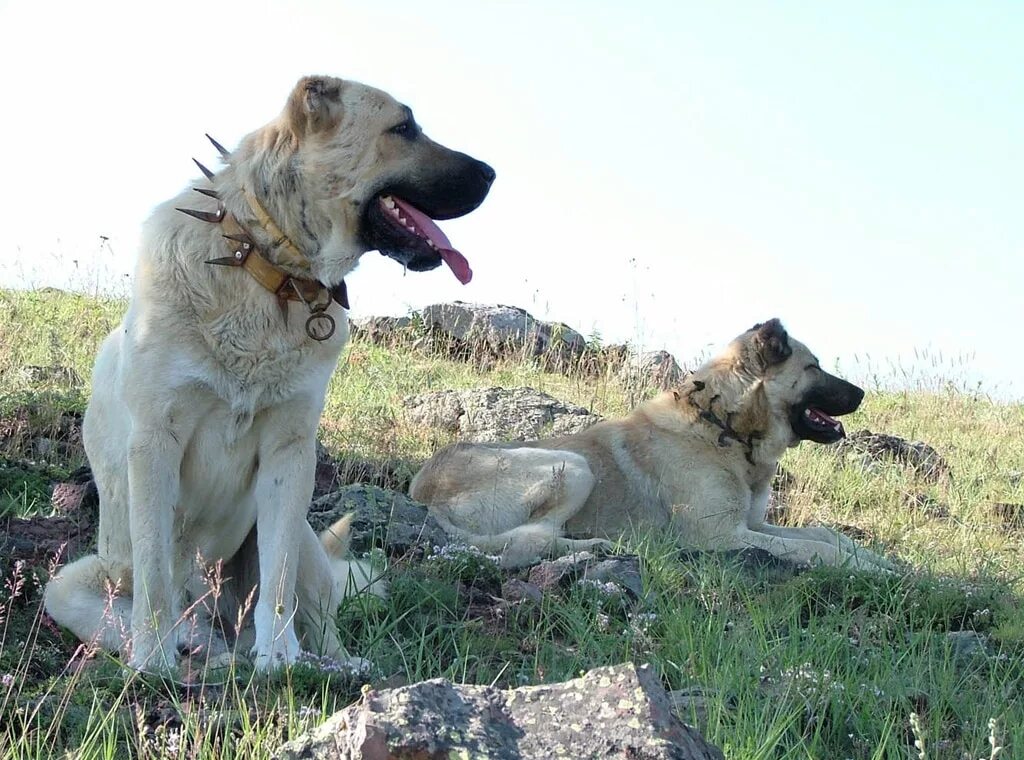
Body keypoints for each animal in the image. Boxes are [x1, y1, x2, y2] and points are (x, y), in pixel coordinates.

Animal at [46, 75, 493, 671]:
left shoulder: (290, 452)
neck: (268, 274)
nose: (491, 174)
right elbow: (155, 575)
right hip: (74, 583)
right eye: (403, 128)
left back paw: (327, 662)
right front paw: (154, 660)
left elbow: (277, 578)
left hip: (301, 534)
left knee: (318, 617)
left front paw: (279, 658)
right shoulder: (155, 443)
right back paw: (193, 649)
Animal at [411, 317, 892, 573]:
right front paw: (869, 569)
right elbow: (817, 548)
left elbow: (824, 533)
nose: (864, 394)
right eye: (814, 367)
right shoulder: (724, 535)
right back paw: (595, 548)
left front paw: (881, 561)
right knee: (527, 542)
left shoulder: (753, 524)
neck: (723, 424)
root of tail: (423, 495)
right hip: (571, 464)